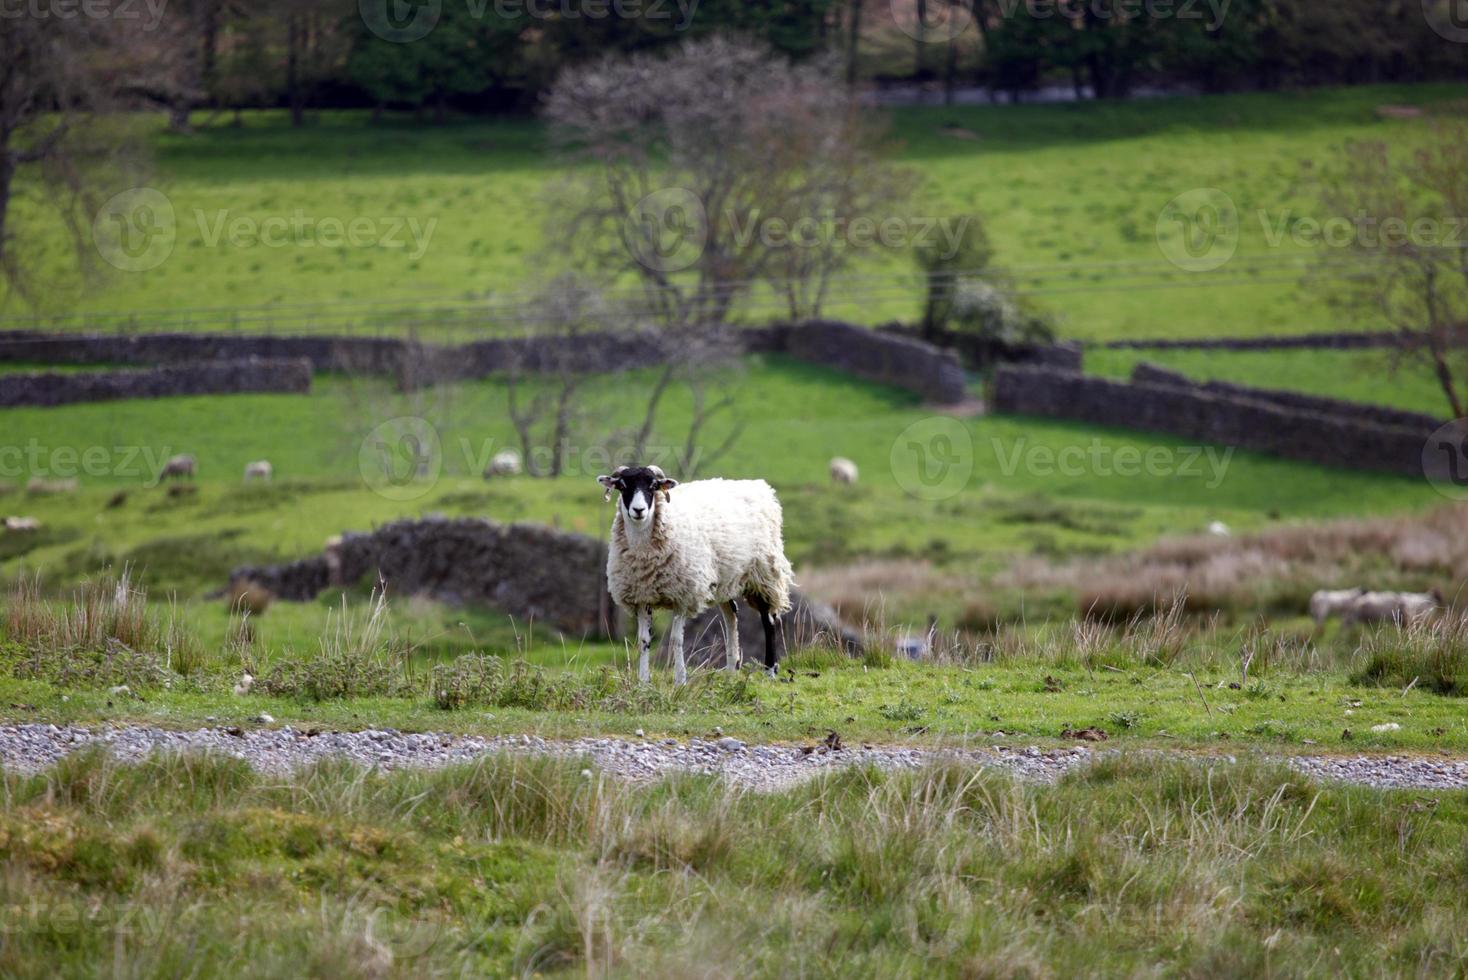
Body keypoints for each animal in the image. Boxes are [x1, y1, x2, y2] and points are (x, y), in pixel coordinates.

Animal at [596, 466, 798, 680]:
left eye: (653, 486)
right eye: (622, 486)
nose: (639, 510)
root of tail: (760, 487)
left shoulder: (683, 595)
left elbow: (676, 639)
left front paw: (680, 680)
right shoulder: (643, 596)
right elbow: (644, 640)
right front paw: (643, 681)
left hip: (763, 575)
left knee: (769, 621)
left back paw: (770, 671)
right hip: (724, 581)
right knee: (731, 615)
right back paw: (730, 670)